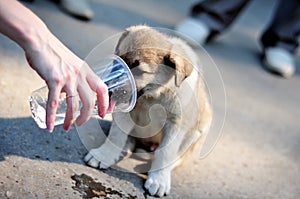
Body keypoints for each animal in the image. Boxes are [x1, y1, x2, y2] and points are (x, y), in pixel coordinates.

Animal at [83, 25, 212, 197]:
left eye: (138, 71)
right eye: (117, 60)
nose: (106, 90)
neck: (154, 96)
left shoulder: (177, 124)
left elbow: (166, 153)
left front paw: (159, 179)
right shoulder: (124, 111)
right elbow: (116, 137)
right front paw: (104, 155)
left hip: (198, 131)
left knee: (177, 157)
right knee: (129, 140)